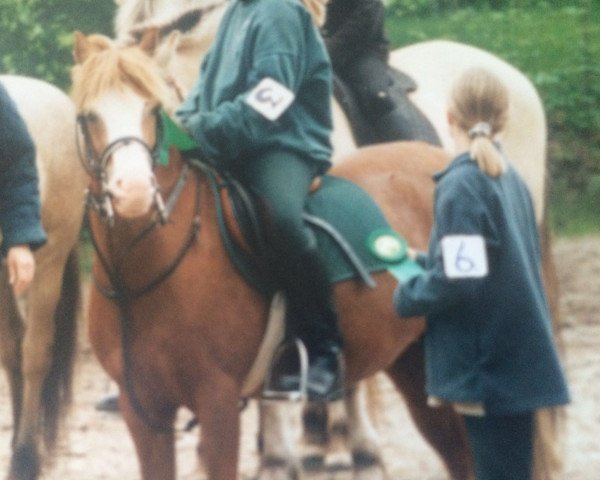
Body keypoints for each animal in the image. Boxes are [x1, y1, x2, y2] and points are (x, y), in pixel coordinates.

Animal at [70, 32, 474, 480]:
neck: (145, 274)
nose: (134, 191)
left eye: (152, 109)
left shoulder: (218, 402)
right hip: (412, 362)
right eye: (88, 115)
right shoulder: (143, 412)